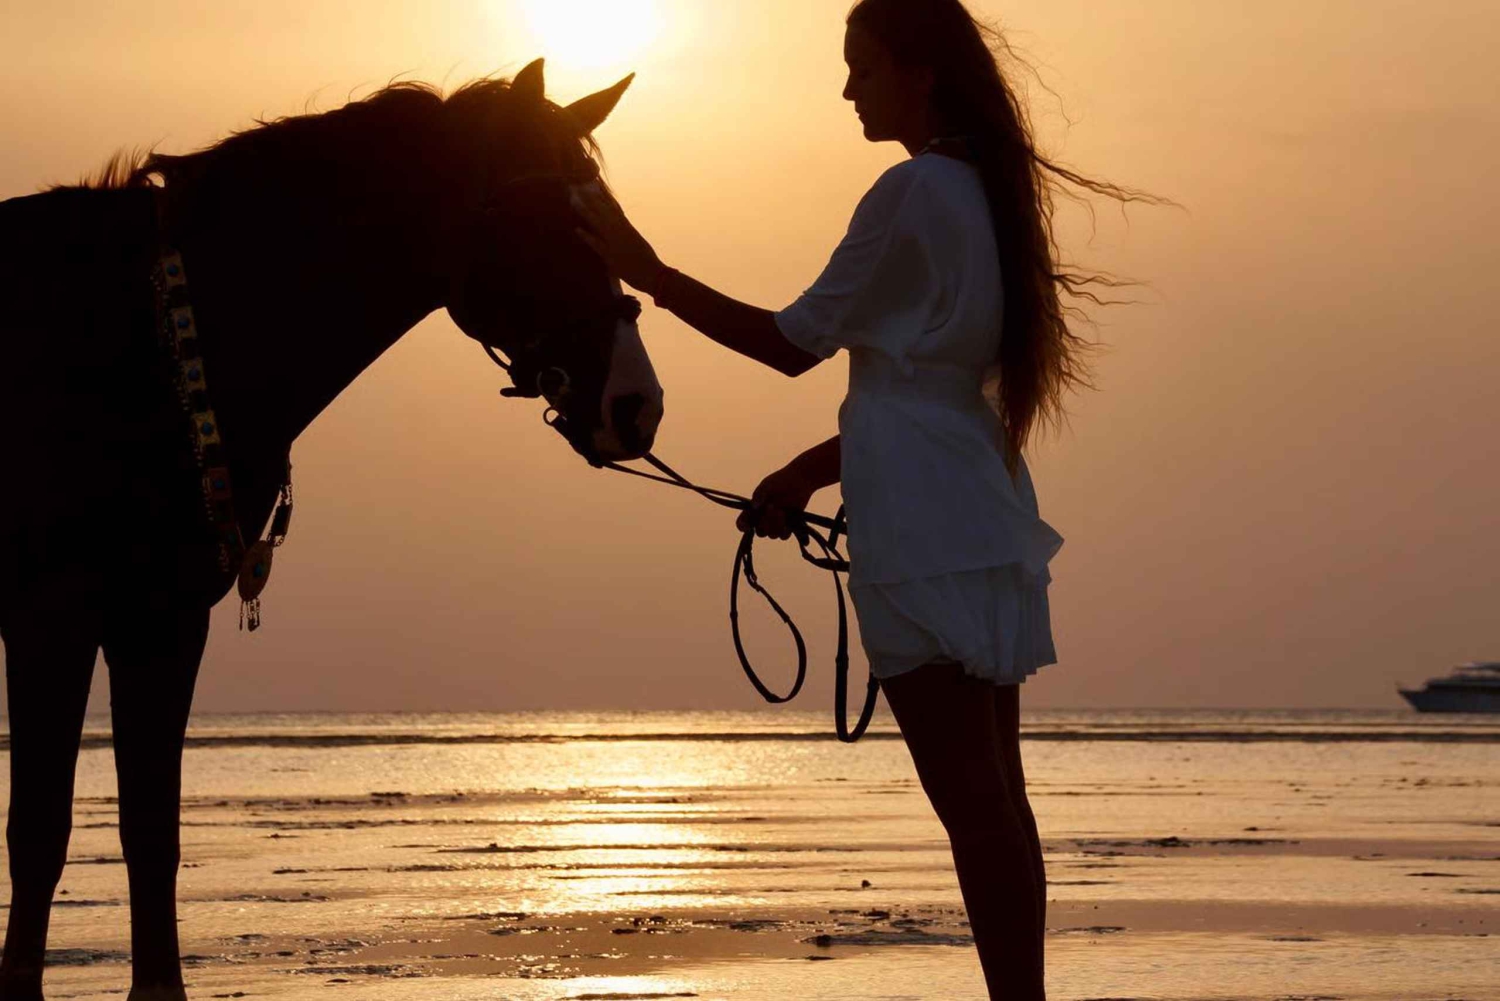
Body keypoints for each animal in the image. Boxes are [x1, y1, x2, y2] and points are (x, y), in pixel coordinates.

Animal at [0, 58, 662, 1000]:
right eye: (546, 217)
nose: (637, 405)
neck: (143, 338)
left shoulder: (162, 618)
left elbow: (150, 830)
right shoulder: (51, 612)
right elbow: (40, 830)